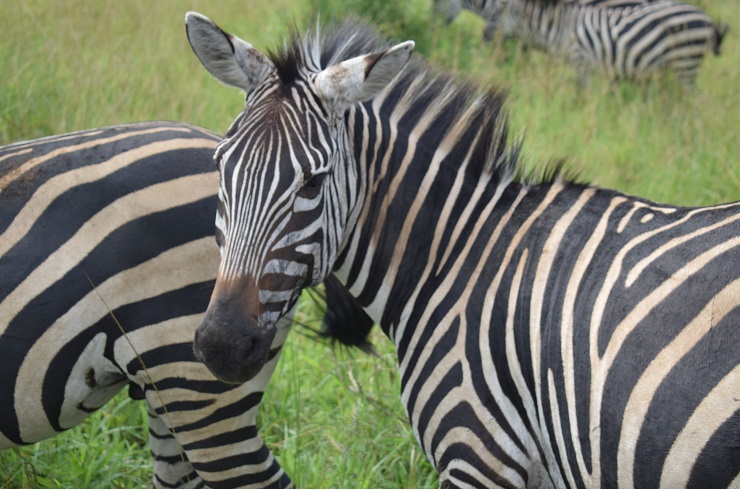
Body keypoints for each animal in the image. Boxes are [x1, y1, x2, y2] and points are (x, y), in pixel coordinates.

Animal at [434, 0, 728, 89]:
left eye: (498, 13)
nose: (484, 37)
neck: (558, 27)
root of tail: (706, 19)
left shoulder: (580, 61)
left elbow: (581, 93)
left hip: (685, 63)